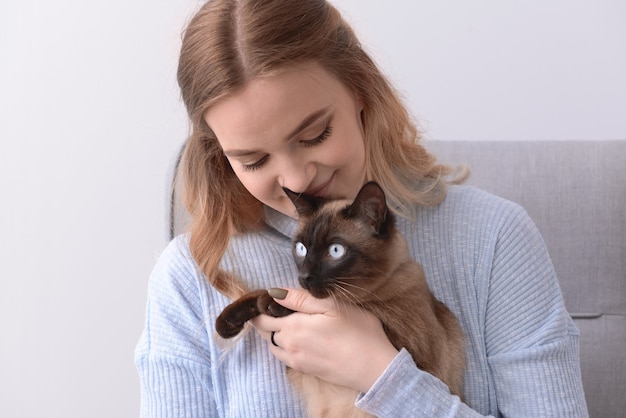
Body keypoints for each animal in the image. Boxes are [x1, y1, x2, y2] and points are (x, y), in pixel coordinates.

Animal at [214, 181, 464, 416]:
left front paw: (273, 305)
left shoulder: (409, 347)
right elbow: (266, 291)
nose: (305, 277)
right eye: (301, 249)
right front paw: (227, 322)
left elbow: (311, 303)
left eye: (335, 251)